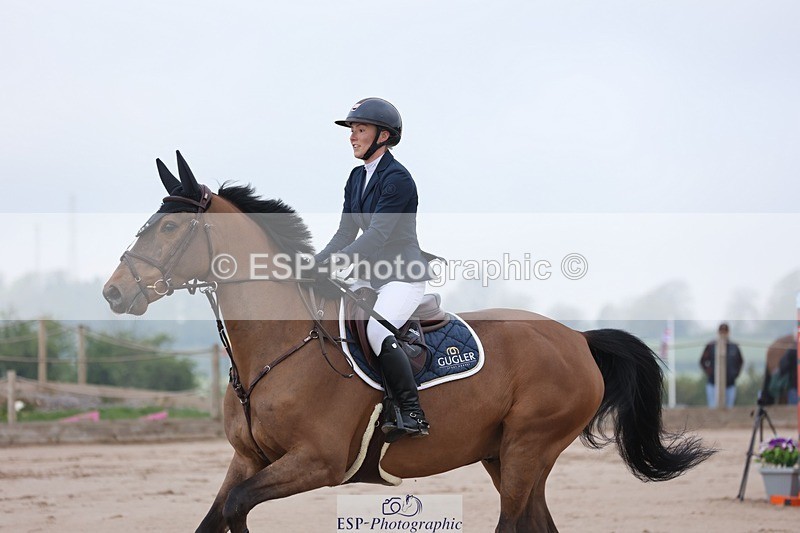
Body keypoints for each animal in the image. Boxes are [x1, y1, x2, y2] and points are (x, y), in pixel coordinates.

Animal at [102, 152, 713, 533]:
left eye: (170, 228)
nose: (113, 292)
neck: (276, 349)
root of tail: (578, 340)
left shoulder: (318, 462)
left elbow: (235, 509)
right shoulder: (248, 458)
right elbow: (218, 516)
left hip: (528, 448)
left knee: (514, 524)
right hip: (505, 453)